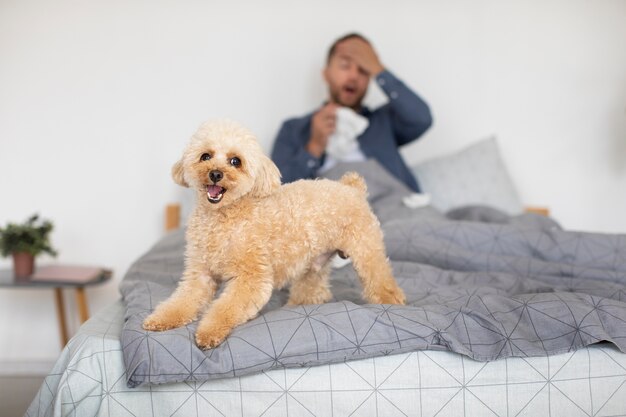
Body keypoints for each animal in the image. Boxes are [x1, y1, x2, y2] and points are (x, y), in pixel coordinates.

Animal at [143, 120, 404, 348]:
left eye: (235, 161)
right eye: (205, 156)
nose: (215, 174)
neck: (225, 217)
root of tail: (351, 187)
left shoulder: (251, 278)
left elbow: (225, 308)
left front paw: (208, 333)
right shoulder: (200, 275)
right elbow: (183, 300)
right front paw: (160, 319)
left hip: (366, 250)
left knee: (380, 280)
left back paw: (393, 303)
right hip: (313, 263)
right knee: (314, 288)